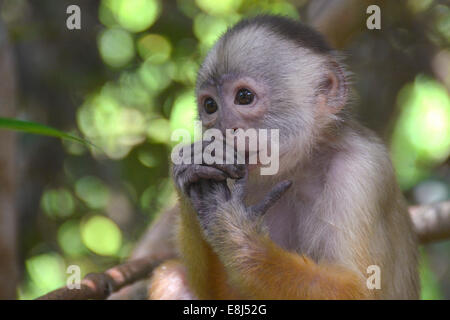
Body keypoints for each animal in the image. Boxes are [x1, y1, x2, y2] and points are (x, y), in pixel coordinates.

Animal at [143, 15, 418, 300]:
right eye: (210, 106)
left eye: (244, 97)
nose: (224, 128)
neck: (301, 167)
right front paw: (192, 170)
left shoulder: (362, 169)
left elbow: (358, 288)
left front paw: (235, 231)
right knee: (171, 276)